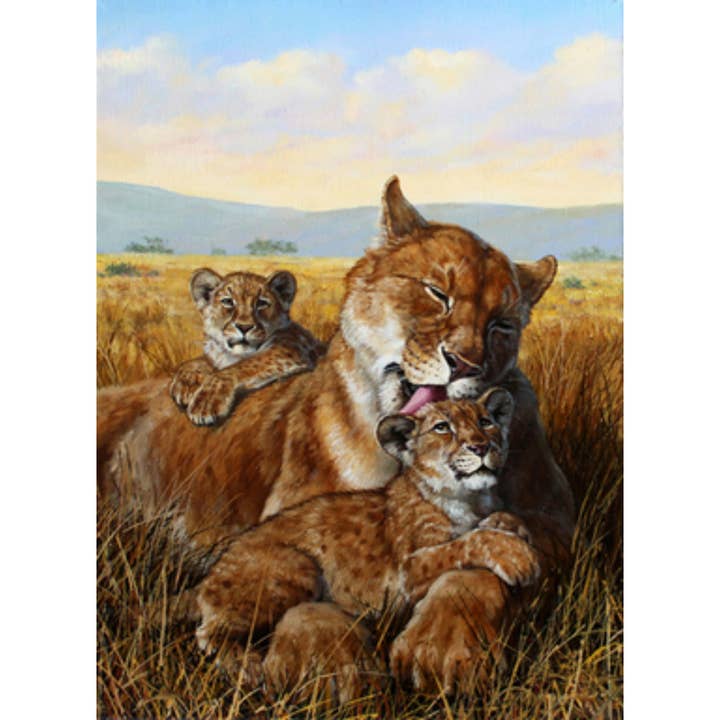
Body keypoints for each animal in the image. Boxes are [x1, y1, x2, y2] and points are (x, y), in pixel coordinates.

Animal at [169, 267, 325, 426]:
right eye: (228, 301)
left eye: (261, 303)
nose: (244, 327)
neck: (232, 355)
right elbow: (199, 361)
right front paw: (187, 382)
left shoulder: (291, 349)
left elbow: (242, 366)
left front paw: (205, 403)